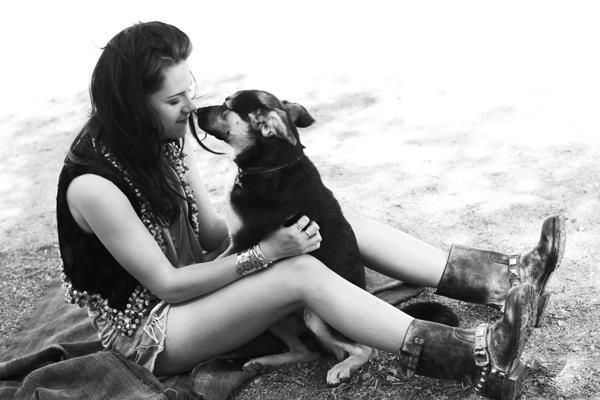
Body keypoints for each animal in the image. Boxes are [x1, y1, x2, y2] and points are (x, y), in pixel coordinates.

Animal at [191, 90, 454, 384]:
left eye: (227, 106)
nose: (194, 111)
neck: (273, 164)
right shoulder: (232, 242)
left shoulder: (241, 243)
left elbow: (210, 264)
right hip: (278, 318)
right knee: (306, 351)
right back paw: (262, 362)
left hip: (315, 316)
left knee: (364, 349)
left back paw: (342, 368)